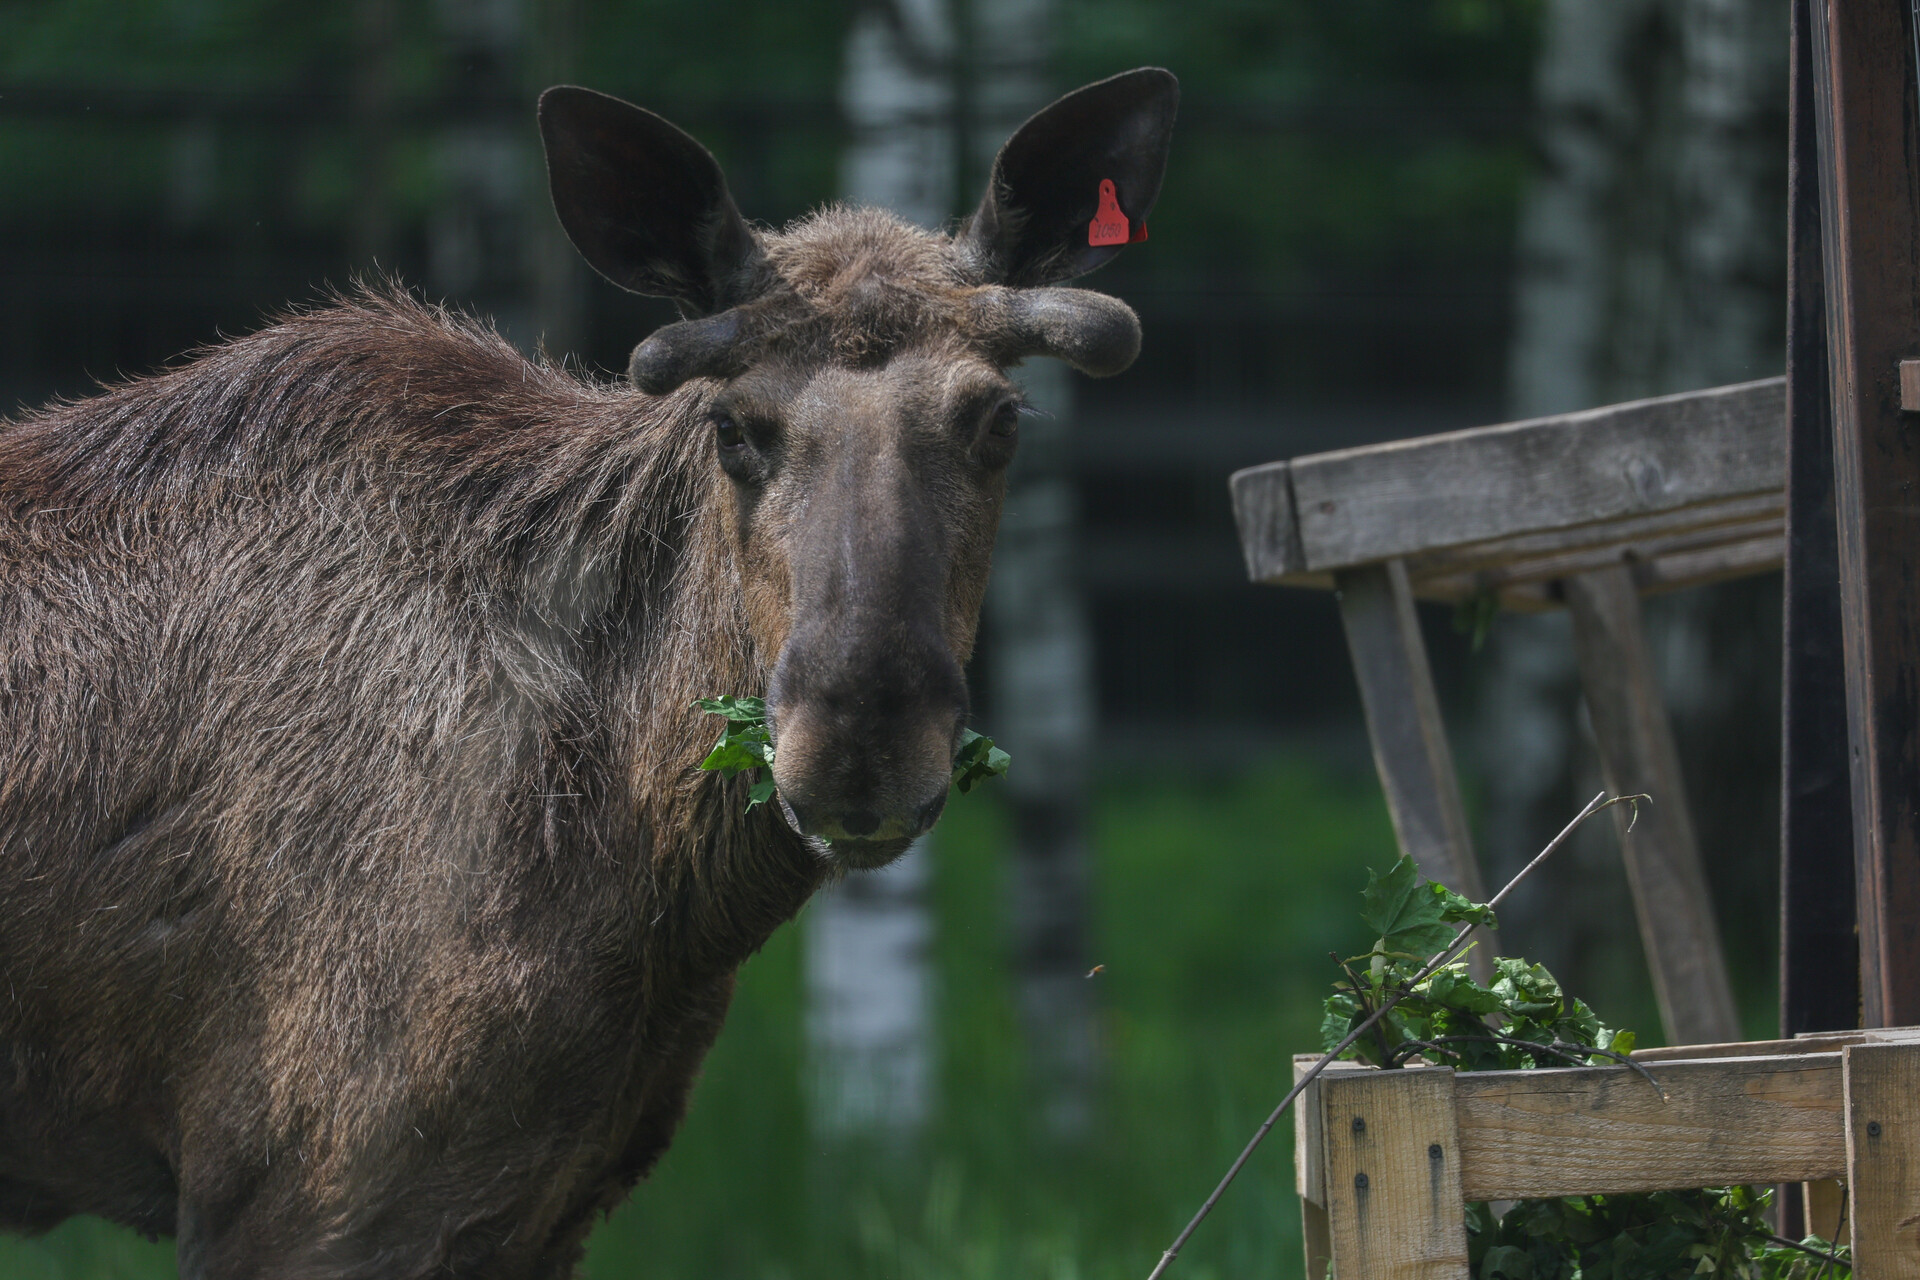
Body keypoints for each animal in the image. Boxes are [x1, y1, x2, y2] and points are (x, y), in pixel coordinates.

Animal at [0, 68, 1177, 1278]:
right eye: (733, 427)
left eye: (1000, 417)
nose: (860, 740)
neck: (639, 882)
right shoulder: (310, 1191)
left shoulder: (532, 1197)